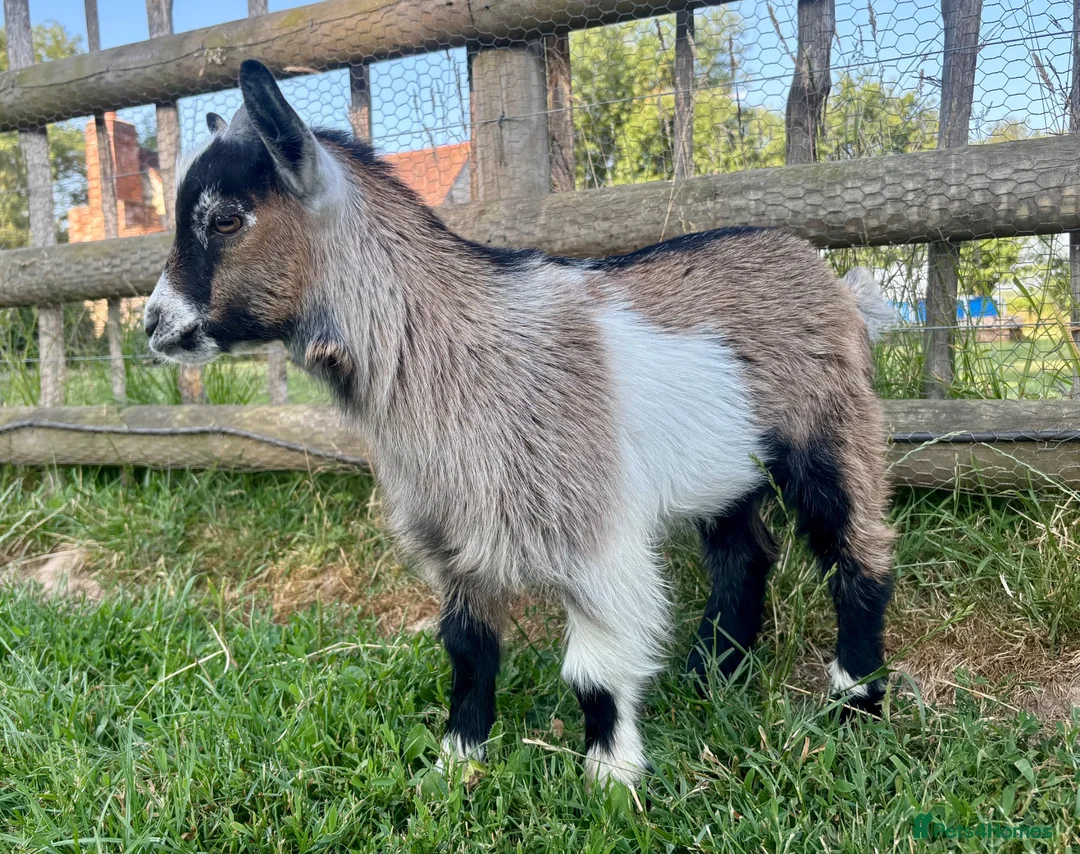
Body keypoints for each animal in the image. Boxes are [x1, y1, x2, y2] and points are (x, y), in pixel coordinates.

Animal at [145, 59, 895, 788]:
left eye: (226, 219)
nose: (154, 323)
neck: (453, 347)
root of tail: (831, 280)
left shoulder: (593, 532)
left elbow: (596, 672)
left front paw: (611, 779)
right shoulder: (453, 535)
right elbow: (468, 651)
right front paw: (456, 762)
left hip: (830, 425)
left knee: (858, 551)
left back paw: (853, 697)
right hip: (723, 465)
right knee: (745, 555)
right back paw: (711, 674)